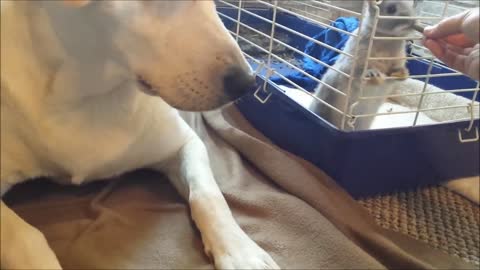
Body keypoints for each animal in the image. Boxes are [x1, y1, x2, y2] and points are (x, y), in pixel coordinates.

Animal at [0, 1, 280, 268]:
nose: (247, 83)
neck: (87, 96)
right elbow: (24, 235)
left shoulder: (185, 143)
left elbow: (207, 194)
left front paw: (241, 252)